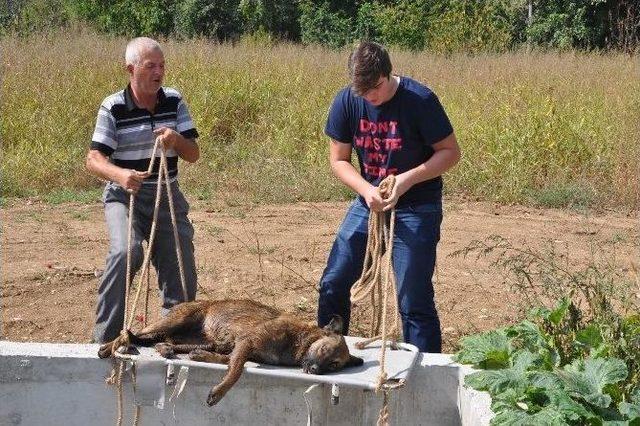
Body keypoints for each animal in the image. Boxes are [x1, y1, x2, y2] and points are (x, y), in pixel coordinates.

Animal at [97, 298, 362, 404]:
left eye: (335, 364)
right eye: (324, 349)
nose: (315, 370)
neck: (298, 341)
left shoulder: (236, 348)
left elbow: (228, 362)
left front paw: (202, 358)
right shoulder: (246, 343)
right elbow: (236, 371)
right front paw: (218, 392)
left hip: (198, 337)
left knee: (156, 341)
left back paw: (168, 349)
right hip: (174, 322)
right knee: (128, 332)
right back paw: (107, 347)